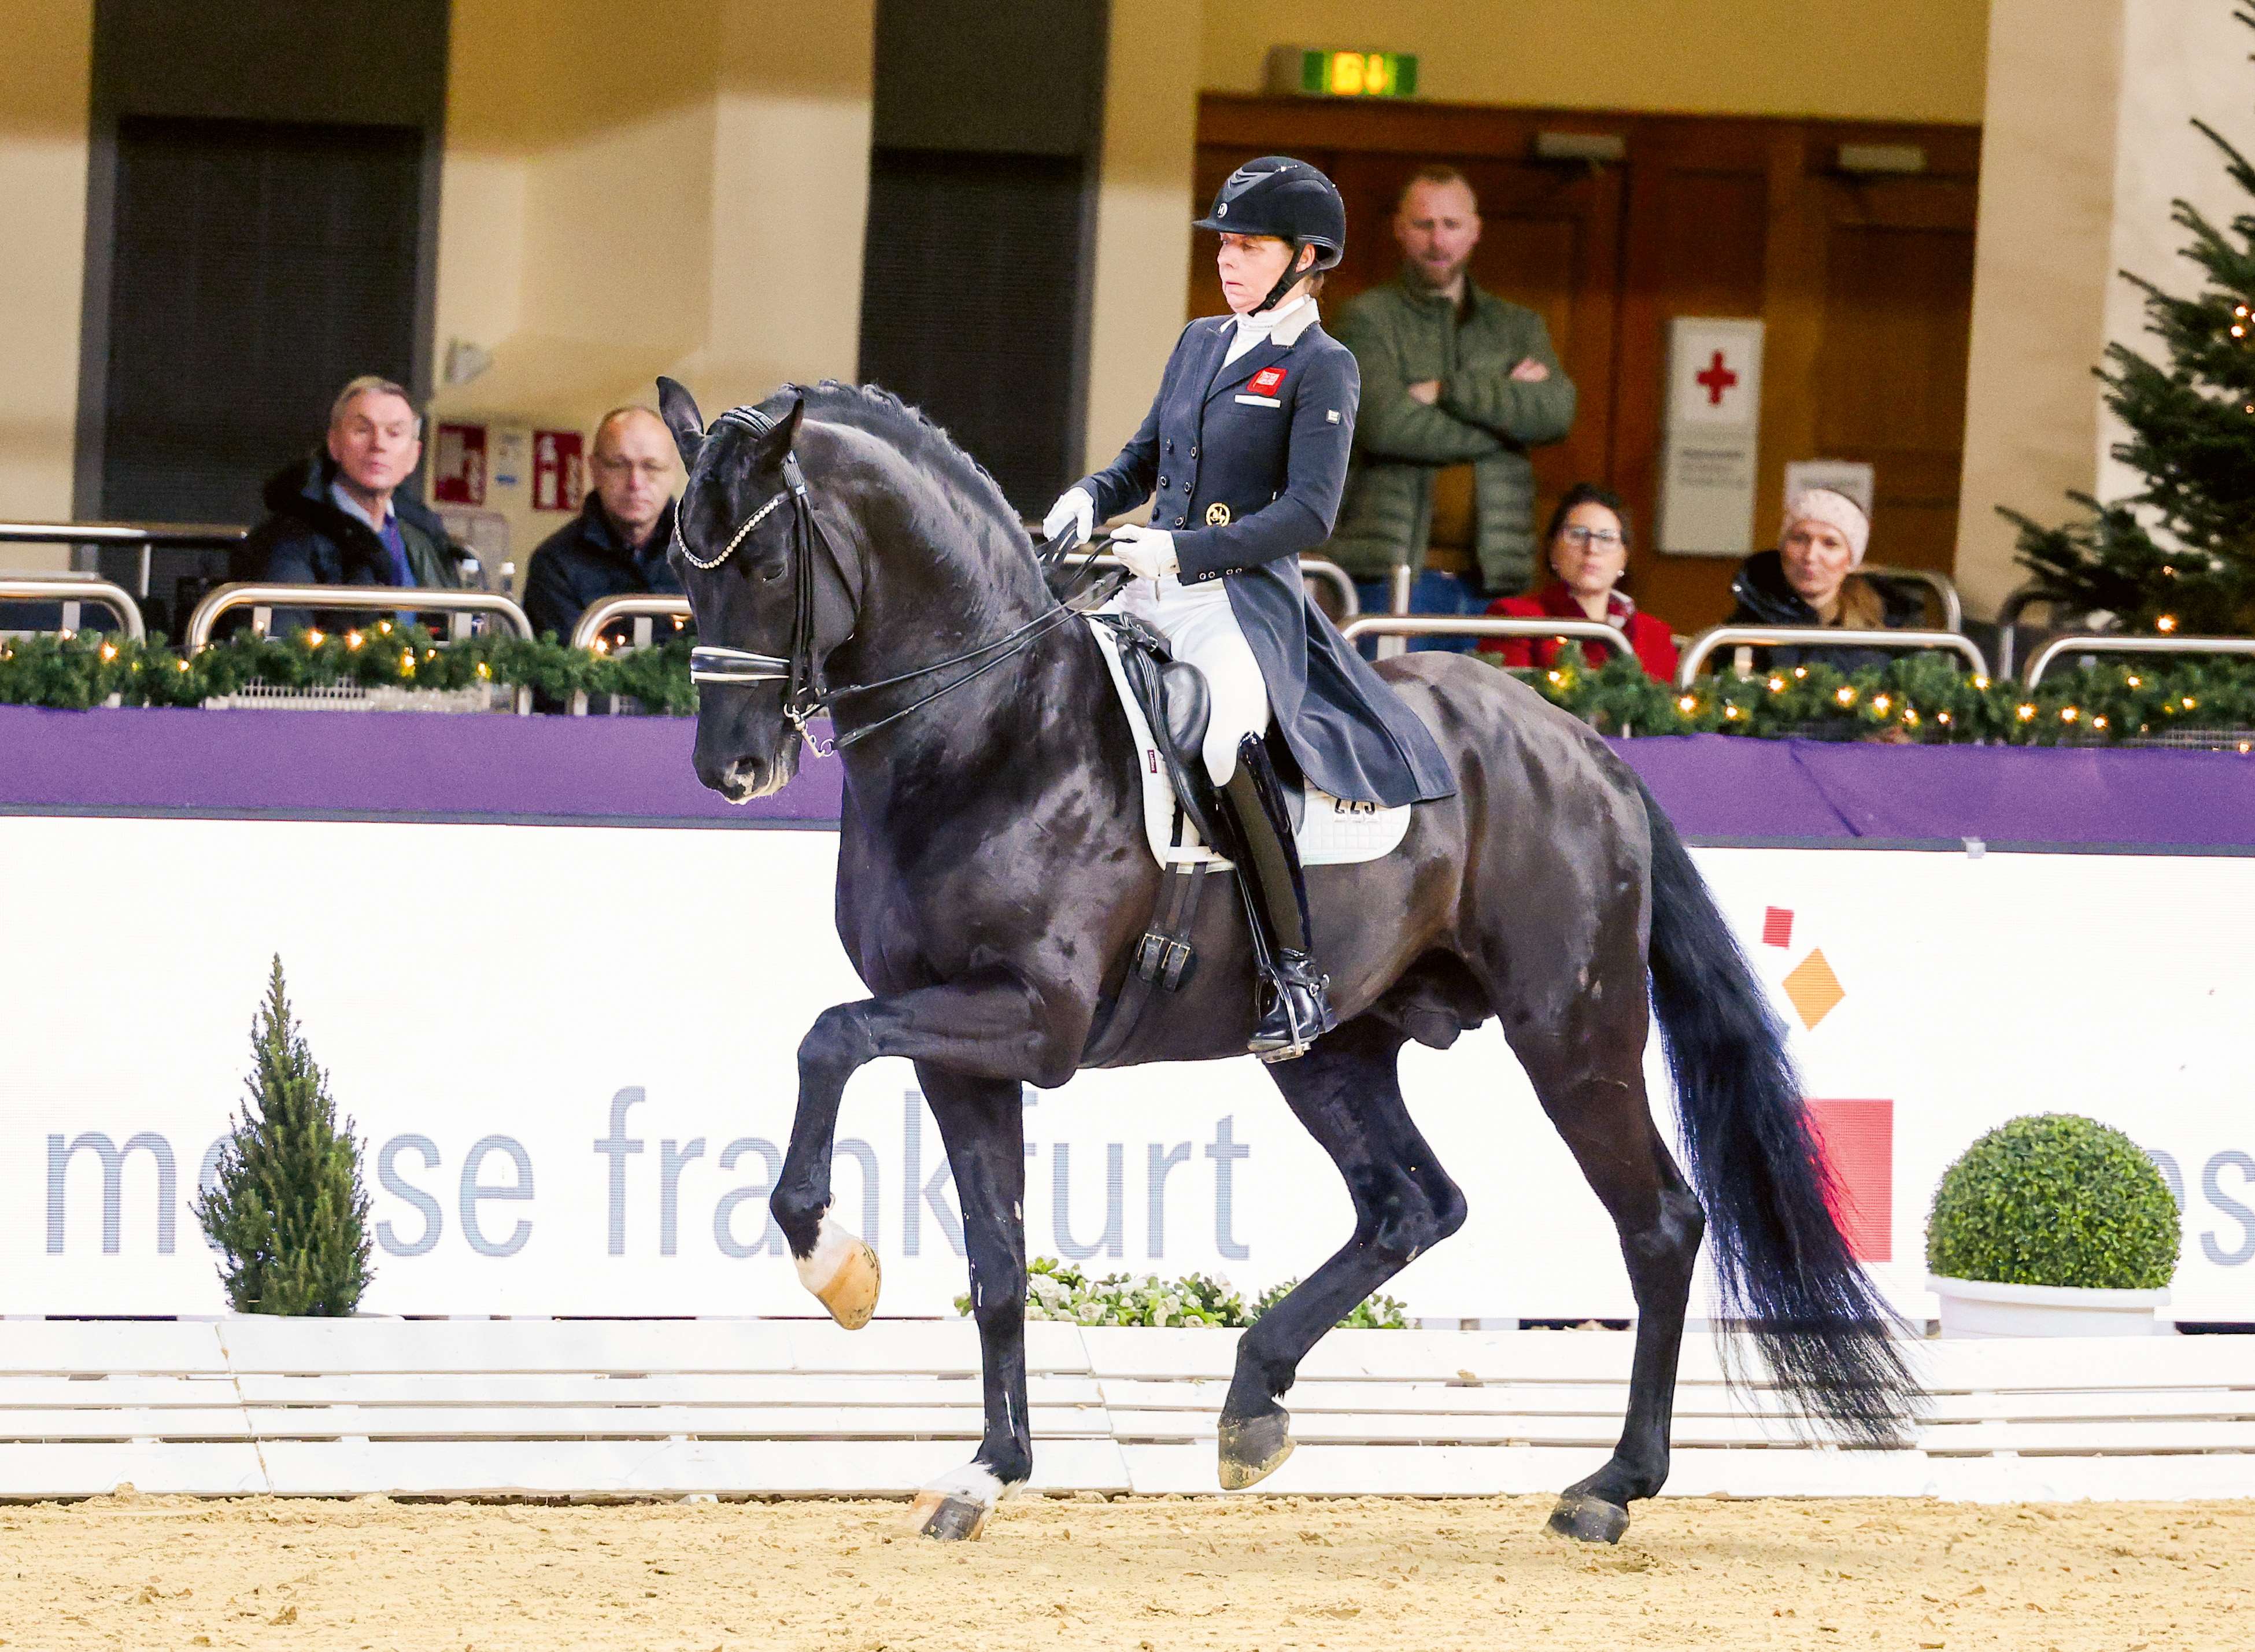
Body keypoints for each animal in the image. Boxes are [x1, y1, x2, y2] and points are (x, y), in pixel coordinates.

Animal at [655, 376, 1918, 1545]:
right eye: (683, 567)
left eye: (764, 560)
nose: (730, 769)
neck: (987, 725)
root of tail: (1582, 742)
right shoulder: (956, 1045)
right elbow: (999, 1259)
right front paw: (987, 1470)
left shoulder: (1033, 1019)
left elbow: (827, 1037)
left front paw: (832, 1262)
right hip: (1332, 1048)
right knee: (1413, 1204)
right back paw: (1253, 1401)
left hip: (1573, 1031)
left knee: (1657, 1220)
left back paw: (1610, 1486)